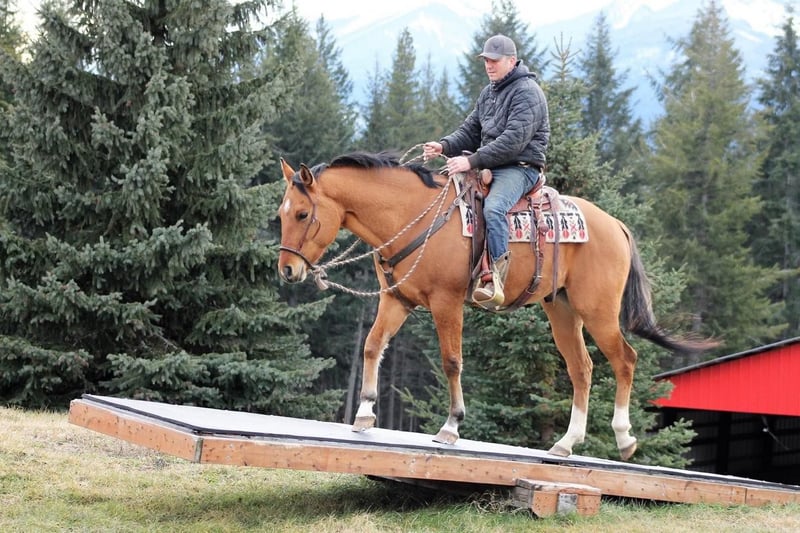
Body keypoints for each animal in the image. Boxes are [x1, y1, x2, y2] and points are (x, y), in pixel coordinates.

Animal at [276, 151, 716, 460]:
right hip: (562, 310)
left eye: (302, 213)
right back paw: (566, 443)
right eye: (281, 214)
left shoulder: (446, 302)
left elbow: (452, 361)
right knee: (582, 369)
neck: (412, 216)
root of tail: (616, 225)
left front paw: (451, 426)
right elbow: (372, 346)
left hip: (599, 311)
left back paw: (624, 438)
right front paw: (365, 415)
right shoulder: (396, 299)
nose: (287, 270)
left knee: (624, 360)